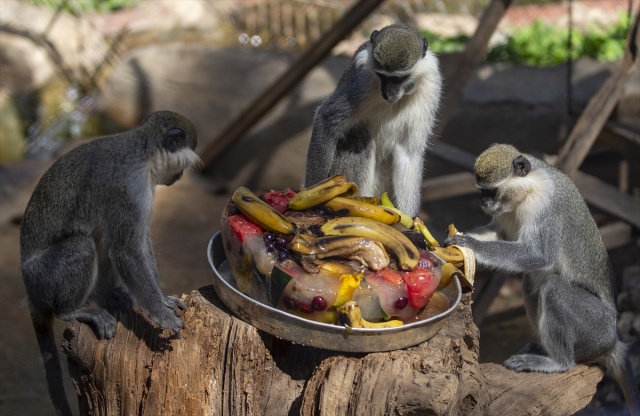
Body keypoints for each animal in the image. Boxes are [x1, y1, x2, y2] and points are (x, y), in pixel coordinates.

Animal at [20, 110, 200, 416]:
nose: (180, 177)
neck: (141, 151)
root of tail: (30, 292)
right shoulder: (127, 190)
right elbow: (127, 251)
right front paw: (160, 313)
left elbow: (140, 243)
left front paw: (163, 299)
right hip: (42, 279)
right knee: (83, 245)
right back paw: (72, 310)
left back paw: (109, 296)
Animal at [444, 145, 640, 414]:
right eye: (481, 191)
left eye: (491, 191)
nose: (483, 202)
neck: (529, 187)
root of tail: (612, 340)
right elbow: (500, 234)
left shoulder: (545, 206)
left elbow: (538, 256)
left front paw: (469, 245)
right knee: (530, 282)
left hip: (595, 328)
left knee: (554, 288)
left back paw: (559, 362)